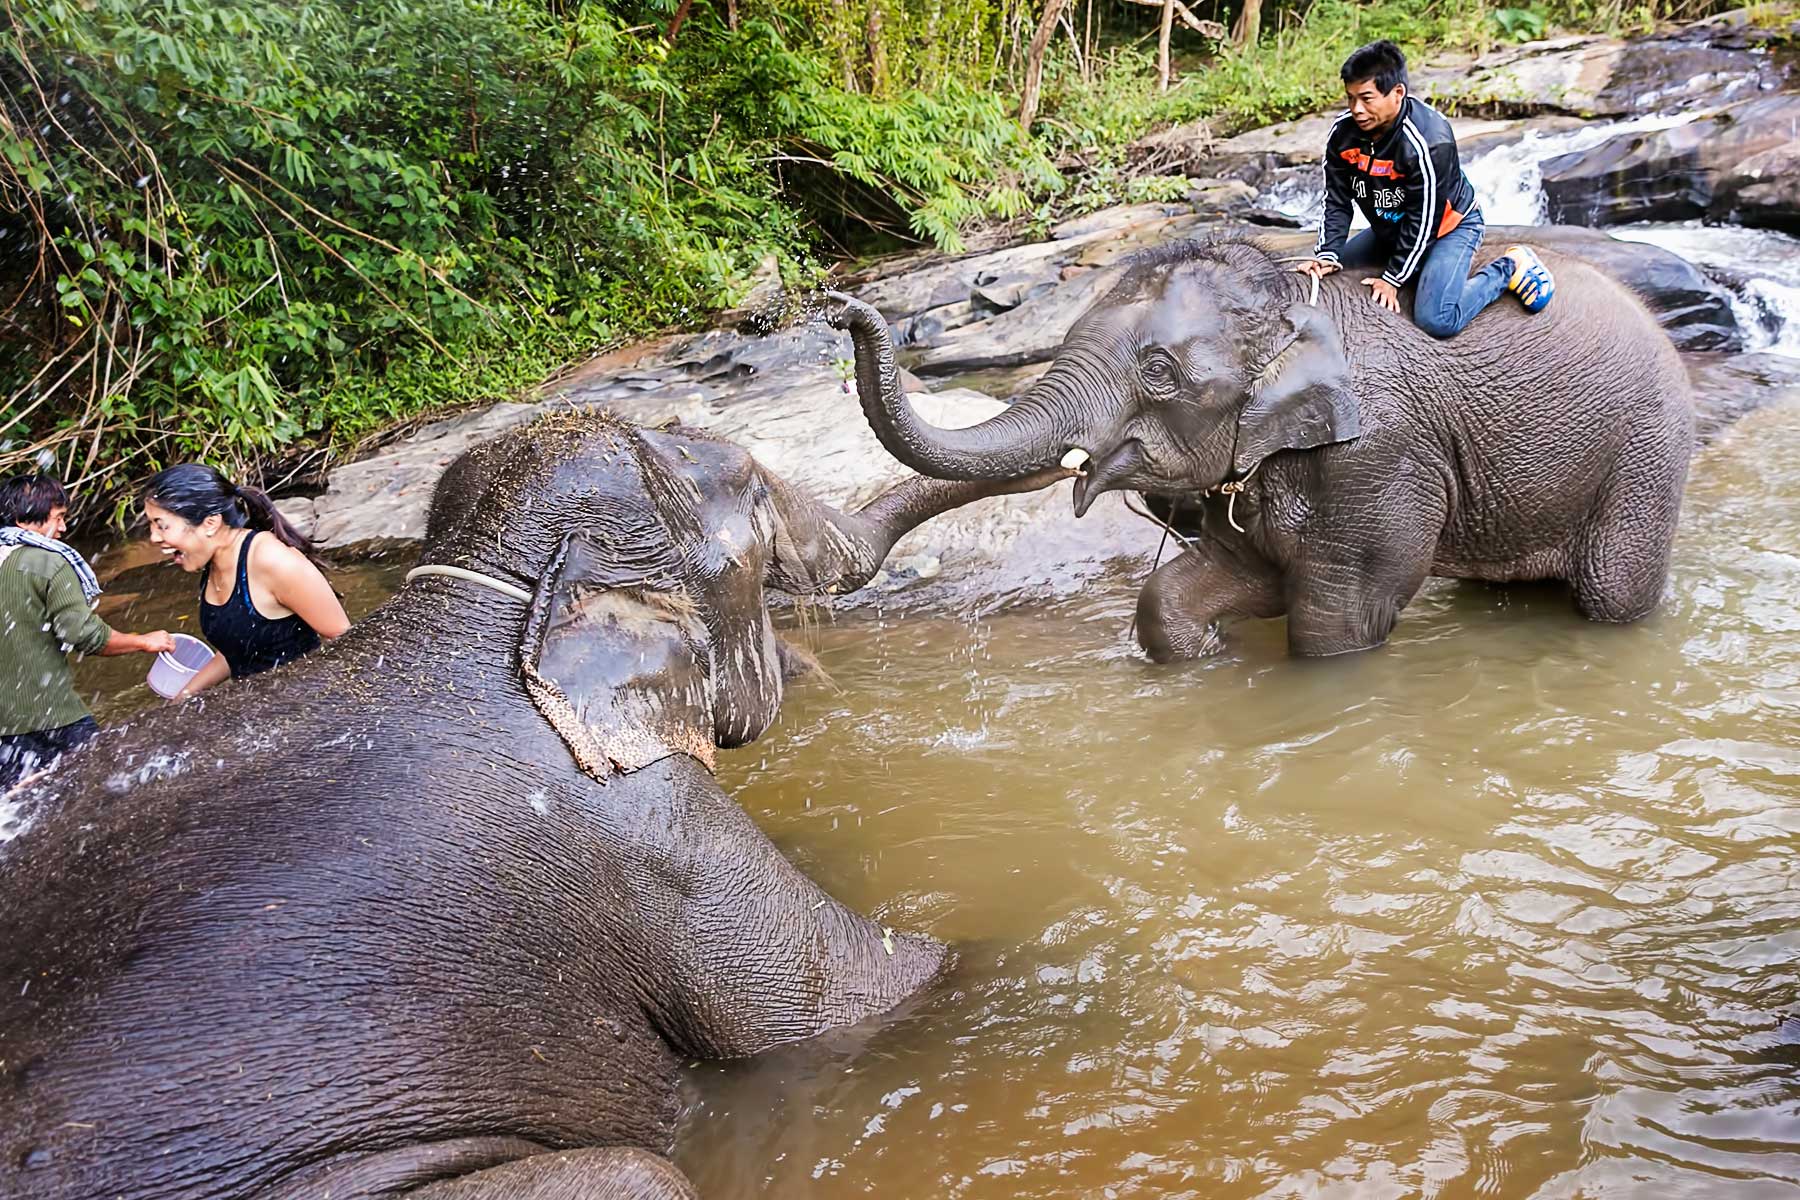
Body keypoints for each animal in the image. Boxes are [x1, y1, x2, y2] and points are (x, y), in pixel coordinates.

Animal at [829, 237, 1695, 661]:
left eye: (1158, 371)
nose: (840, 309)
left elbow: (1334, 617)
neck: (1285, 303)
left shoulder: (1380, 455)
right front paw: (1209, 649)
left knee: (1613, 591)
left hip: (1646, 450)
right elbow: (1200, 585)